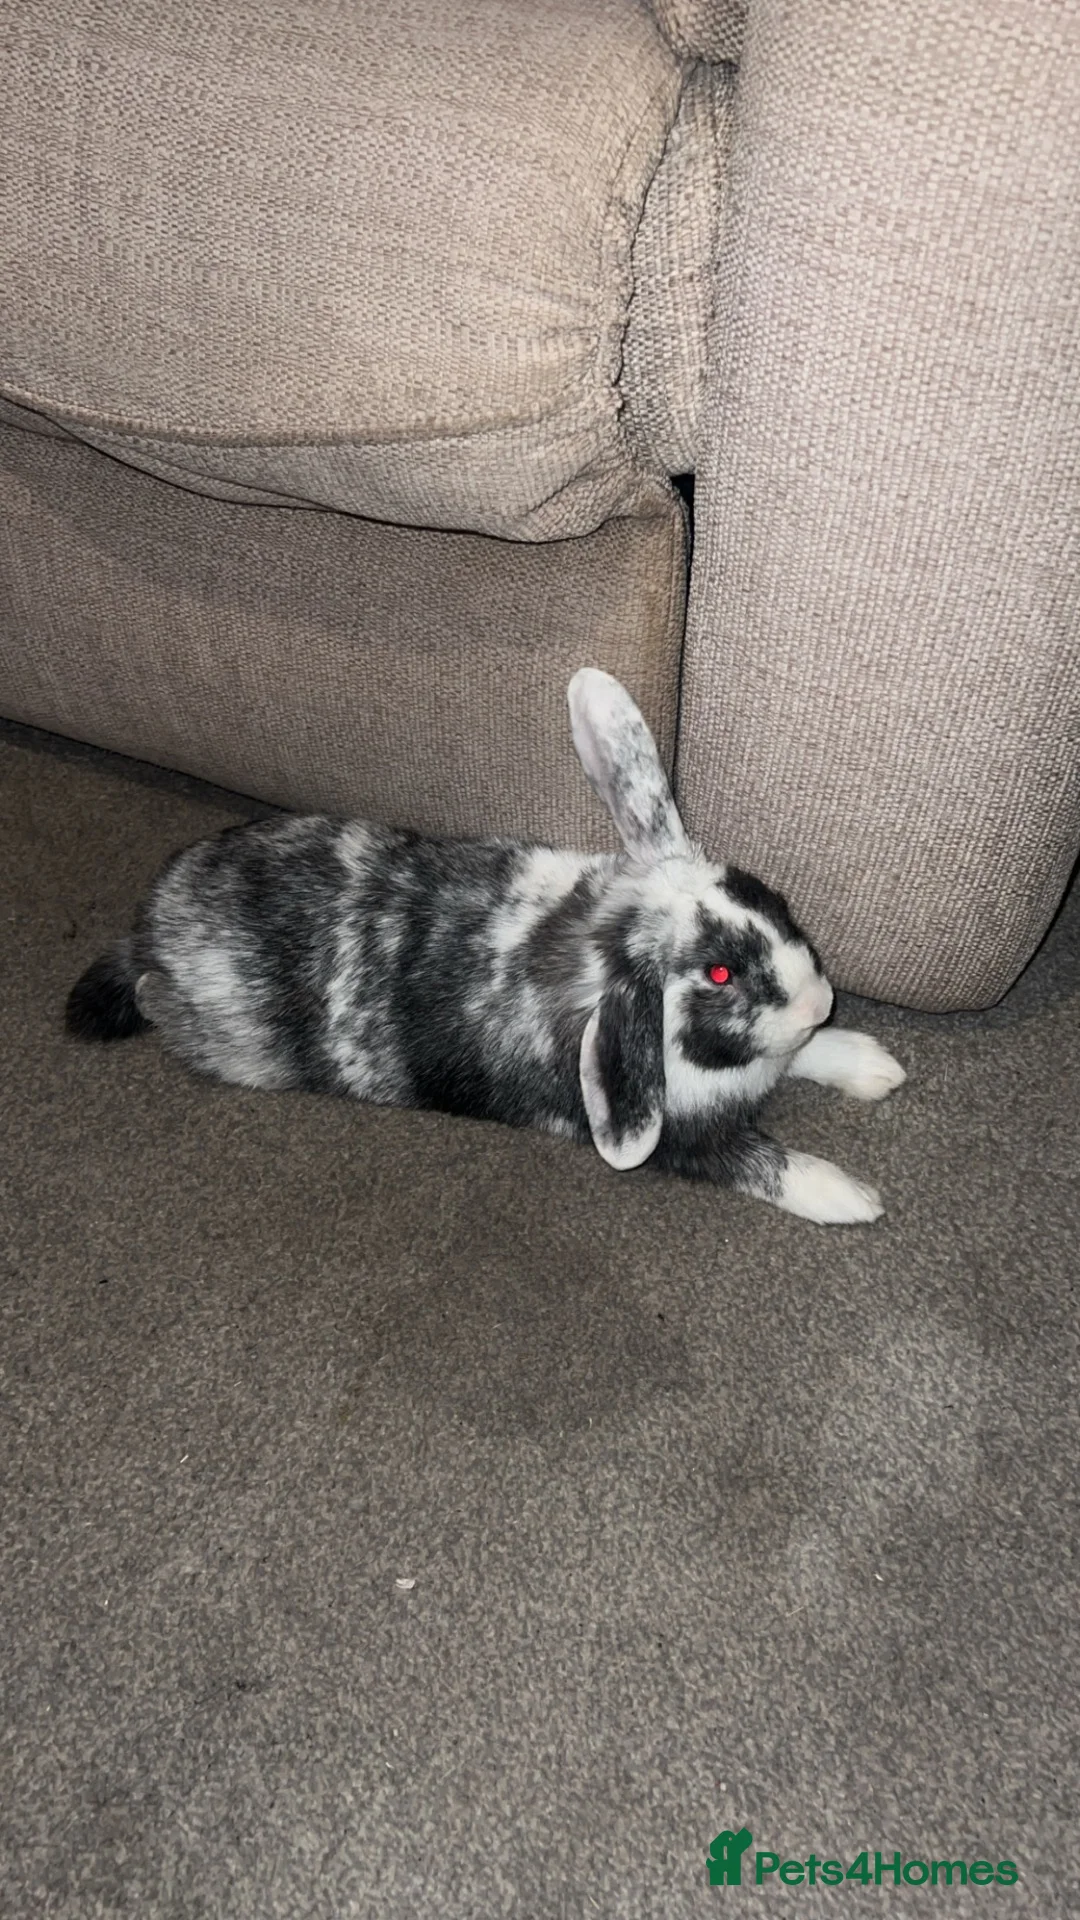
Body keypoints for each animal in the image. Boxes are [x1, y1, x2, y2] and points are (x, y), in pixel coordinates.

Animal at [65, 669, 905, 1223]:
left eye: (771, 900)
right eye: (720, 972)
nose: (820, 999)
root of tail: (150, 931)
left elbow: (806, 1055)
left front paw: (874, 1066)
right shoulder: (682, 1141)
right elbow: (763, 1162)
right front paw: (855, 1197)